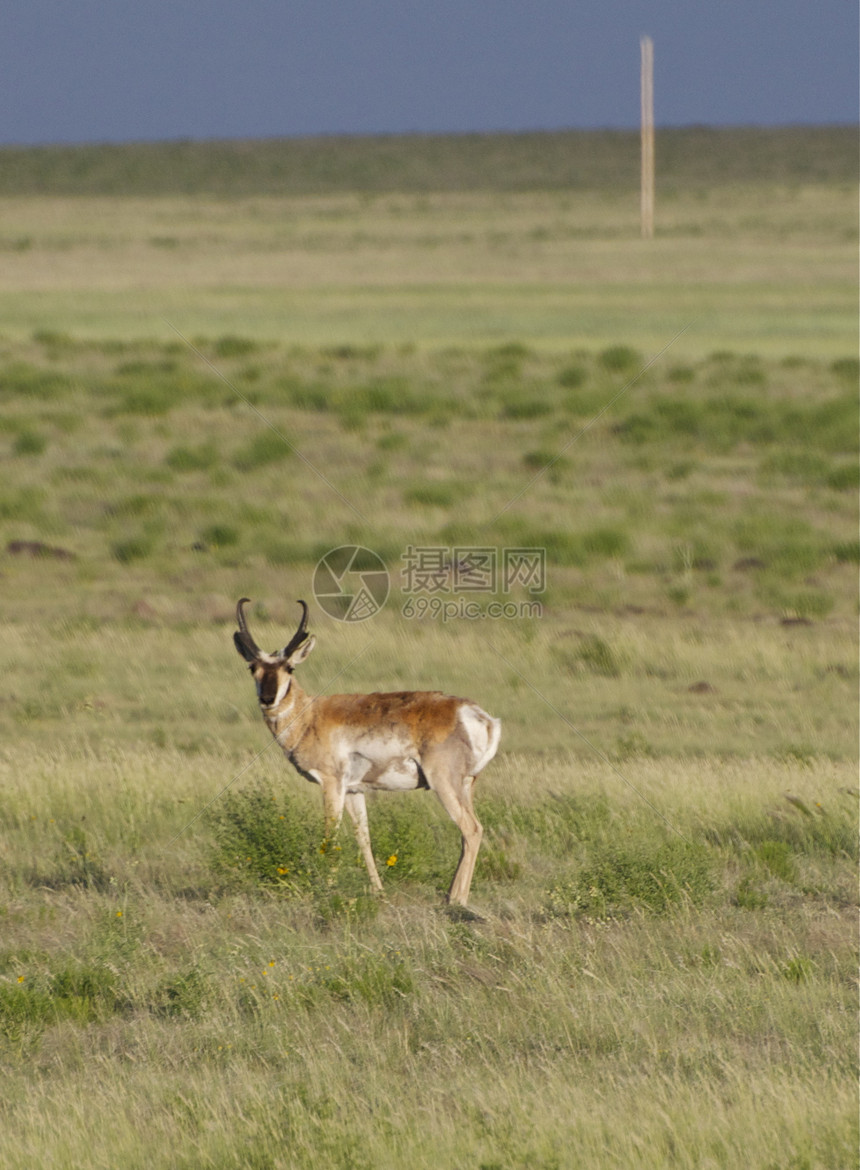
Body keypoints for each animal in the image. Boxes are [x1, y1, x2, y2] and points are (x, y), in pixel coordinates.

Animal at [235, 599, 505, 898]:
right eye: (252, 668)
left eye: (289, 668)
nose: (268, 698)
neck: (310, 715)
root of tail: (477, 715)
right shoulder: (354, 791)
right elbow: (363, 838)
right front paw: (378, 891)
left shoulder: (331, 784)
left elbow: (330, 837)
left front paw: (328, 890)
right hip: (466, 785)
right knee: (466, 834)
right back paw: (450, 895)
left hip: (444, 784)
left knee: (472, 829)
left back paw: (456, 900)